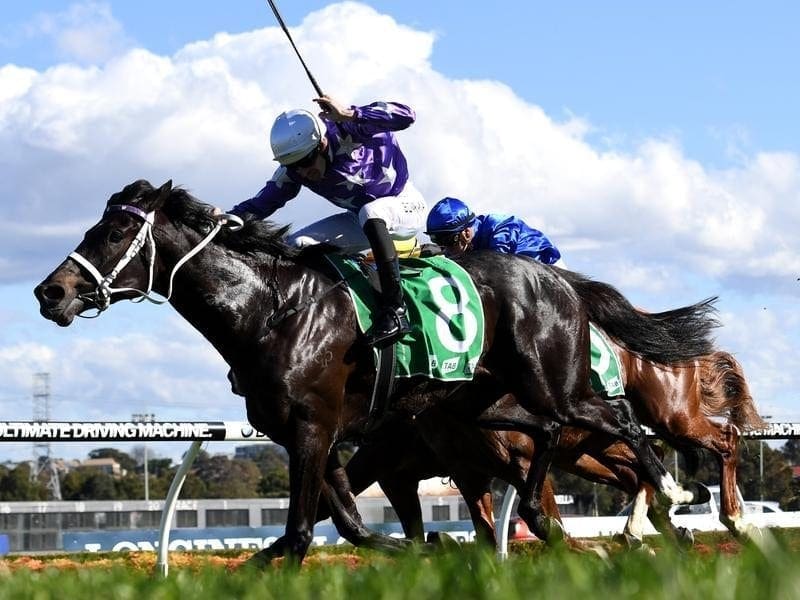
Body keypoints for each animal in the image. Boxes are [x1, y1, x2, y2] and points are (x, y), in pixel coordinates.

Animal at [34, 180, 716, 564]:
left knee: (622, 420)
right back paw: (557, 518)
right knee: (548, 434)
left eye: (116, 231)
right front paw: (417, 548)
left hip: (553, 384)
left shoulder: (313, 429)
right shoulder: (318, 438)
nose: (51, 292)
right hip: (480, 402)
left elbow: (300, 533)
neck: (270, 310)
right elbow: (350, 526)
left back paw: (674, 496)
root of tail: (559, 279)